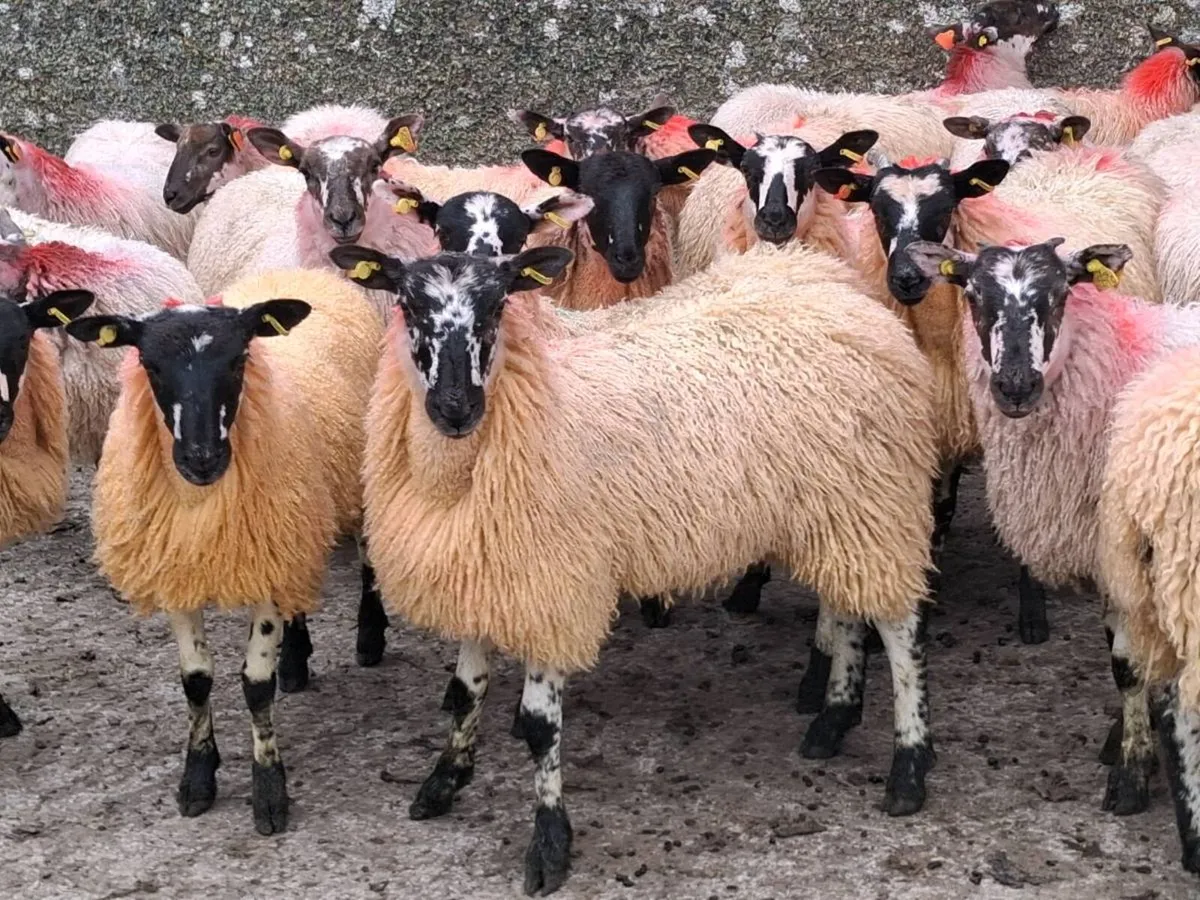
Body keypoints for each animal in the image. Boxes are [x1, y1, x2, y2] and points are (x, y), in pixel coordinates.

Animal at [65, 267, 385, 835]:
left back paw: (369, 638)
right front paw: (197, 778)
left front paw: (269, 791)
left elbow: (254, 685)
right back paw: (296, 661)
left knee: (369, 557)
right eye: (149, 364)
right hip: (292, 523)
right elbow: (196, 681)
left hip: (356, 473)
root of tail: (303, 272)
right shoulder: (180, 566)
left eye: (238, 359)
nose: (201, 458)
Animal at [330, 236, 937, 894]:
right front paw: (442, 782)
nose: (455, 407)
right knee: (849, 605)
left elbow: (540, 726)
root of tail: (854, 299)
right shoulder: (487, 569)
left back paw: (908, 767)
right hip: (840, 515)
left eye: (496, 307)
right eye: (408, 306)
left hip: (872, 501)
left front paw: (549, 844)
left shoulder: (556, 579)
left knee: (900, 631)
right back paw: (831, 721)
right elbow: (468, 693)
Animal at [904, 236, 1200, 819]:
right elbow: (1129, 659)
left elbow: (1128, 665)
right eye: (973, 294)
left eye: (1061, 293)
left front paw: (1129, 774)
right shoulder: (1111, 553)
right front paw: (1128, 746)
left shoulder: (1121, 553)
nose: (1016, 386)